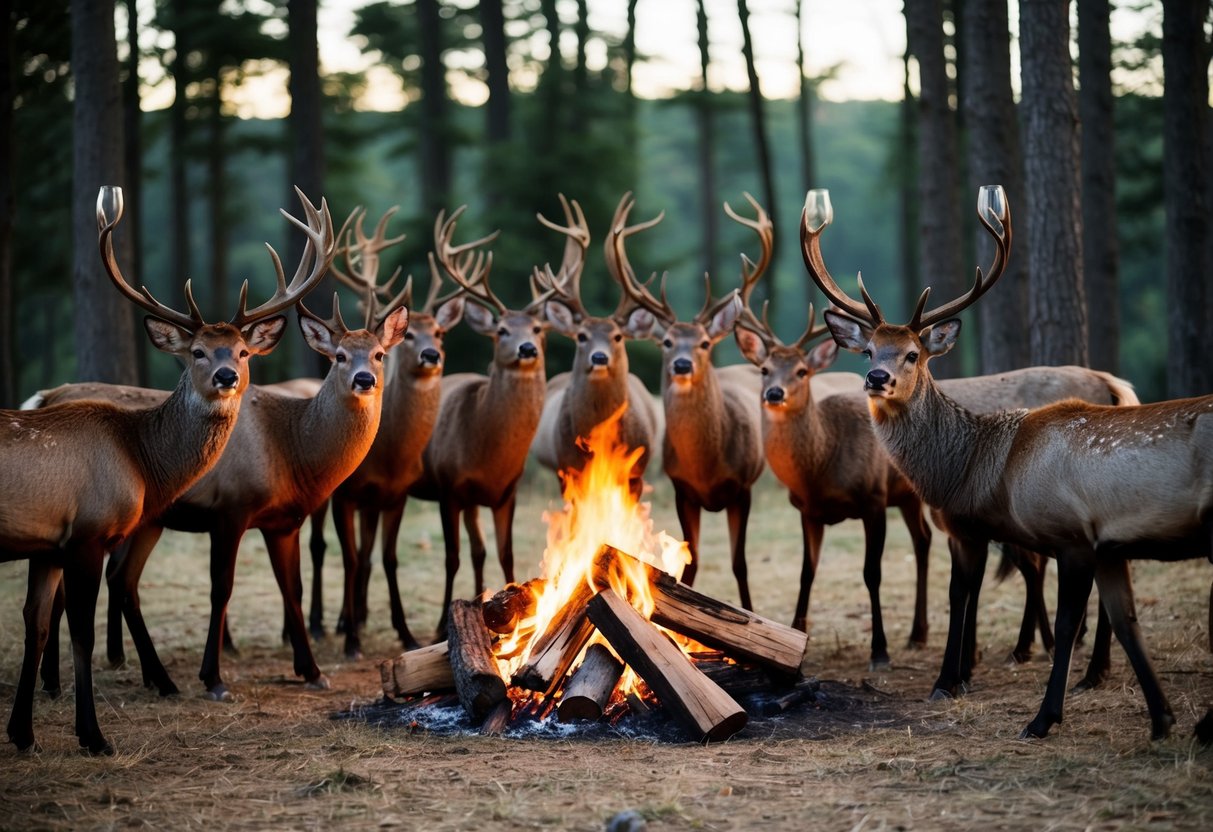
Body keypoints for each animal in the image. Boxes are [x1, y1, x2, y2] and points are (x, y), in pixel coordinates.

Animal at [1, 185, 328, 754]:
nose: (225, 376)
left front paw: (23, 733)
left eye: (243, 351)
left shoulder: (51, 545)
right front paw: (95, 735)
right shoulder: (91, 533)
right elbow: (88, 629)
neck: (135, 451)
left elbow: (35, 623)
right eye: (195, 351)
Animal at [34, 214, 410, 703]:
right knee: (82, 588)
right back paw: (66, 680)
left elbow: (292, 588)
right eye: (340, 357)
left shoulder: (283, 521)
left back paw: (149, 678)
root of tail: (47, 396)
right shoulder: (231, 509)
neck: (291, 451)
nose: (365, 379)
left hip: (147, 520)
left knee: (122, 581)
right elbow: (222, 589)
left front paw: (311, 671)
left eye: (380, 354)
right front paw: (213, 677)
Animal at [323, 206, 467, 657]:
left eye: (440, 332)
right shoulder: (345, 495)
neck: (388, 455)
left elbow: (387, 559)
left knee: (368, 555)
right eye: (409, 338)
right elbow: (350, 559)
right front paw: (351, 638)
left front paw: (405, 632)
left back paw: (359, 615)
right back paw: (332, 622)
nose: (431, 355)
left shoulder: (396, 495)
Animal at [404, 203, 560, 638]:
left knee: (479, 550)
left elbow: (503, 553)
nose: (527, 348)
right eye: (502, 330)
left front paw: (512, 605)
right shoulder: (448, 489)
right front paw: (441, 626)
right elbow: (451, 557)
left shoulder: (506, 491)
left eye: (538, 328)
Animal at [810, 184, 1211, 741]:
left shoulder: (994, 529)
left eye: (913, 354)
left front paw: (954, 681)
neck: (963, 466)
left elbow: (964, 594)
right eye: (868, 349)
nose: (876, 378)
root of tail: (1116, 385)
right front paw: (963, 675)